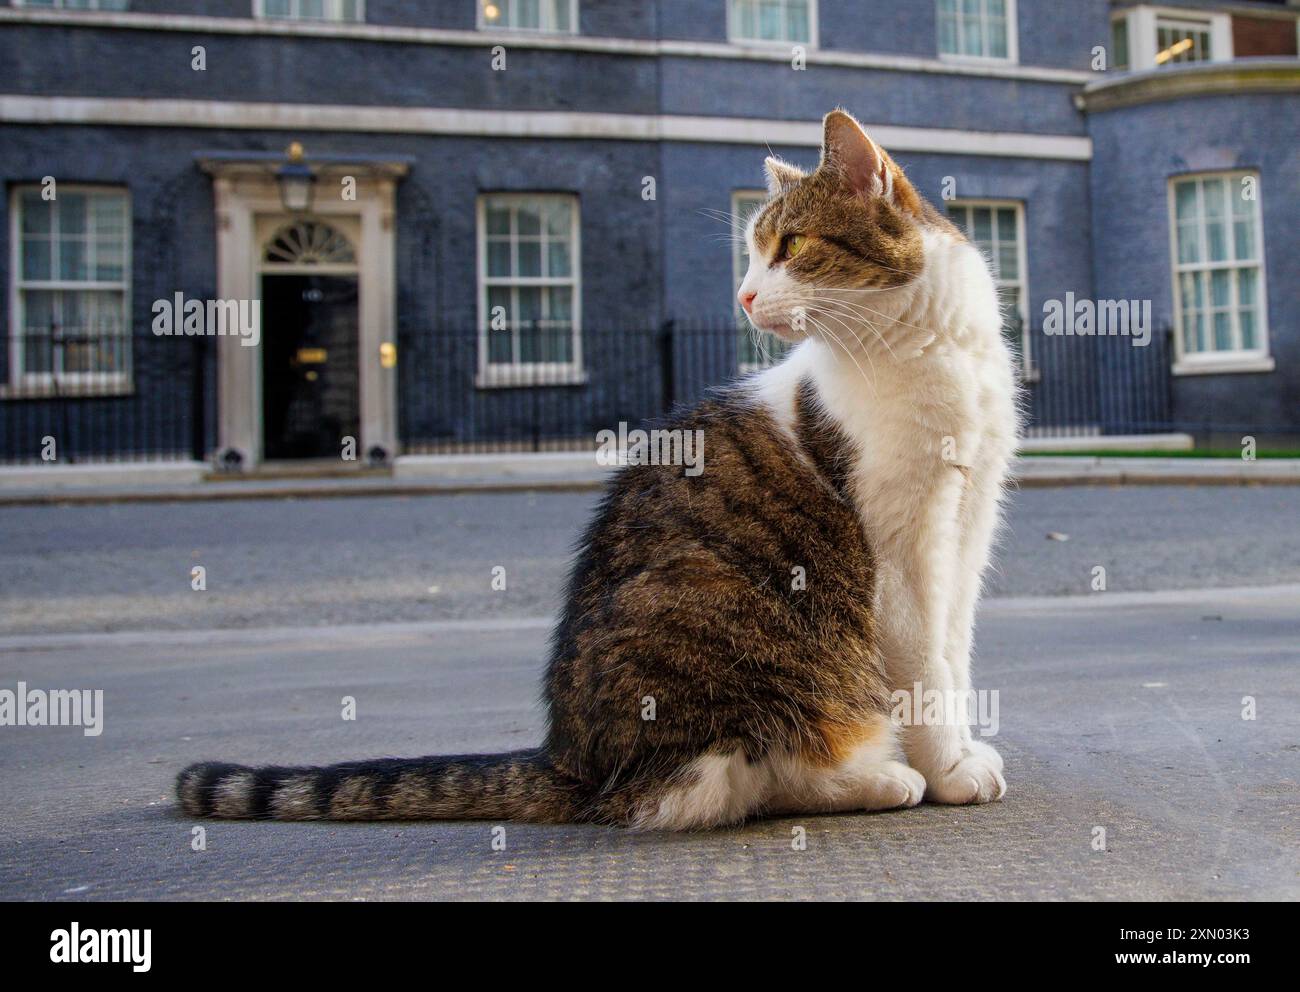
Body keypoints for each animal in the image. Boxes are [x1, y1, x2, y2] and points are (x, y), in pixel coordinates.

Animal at [178, 108, 1019, 832]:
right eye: (753, 253)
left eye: (788, 246)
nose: (744, 295)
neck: (931, 349)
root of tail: (570, 758)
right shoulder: (900, 544)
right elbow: (922, 671)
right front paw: (947, 770)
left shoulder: (969, 524)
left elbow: (956, 650)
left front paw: (961, 748)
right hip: (721, 616)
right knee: (720, 780)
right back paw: (876, 778)